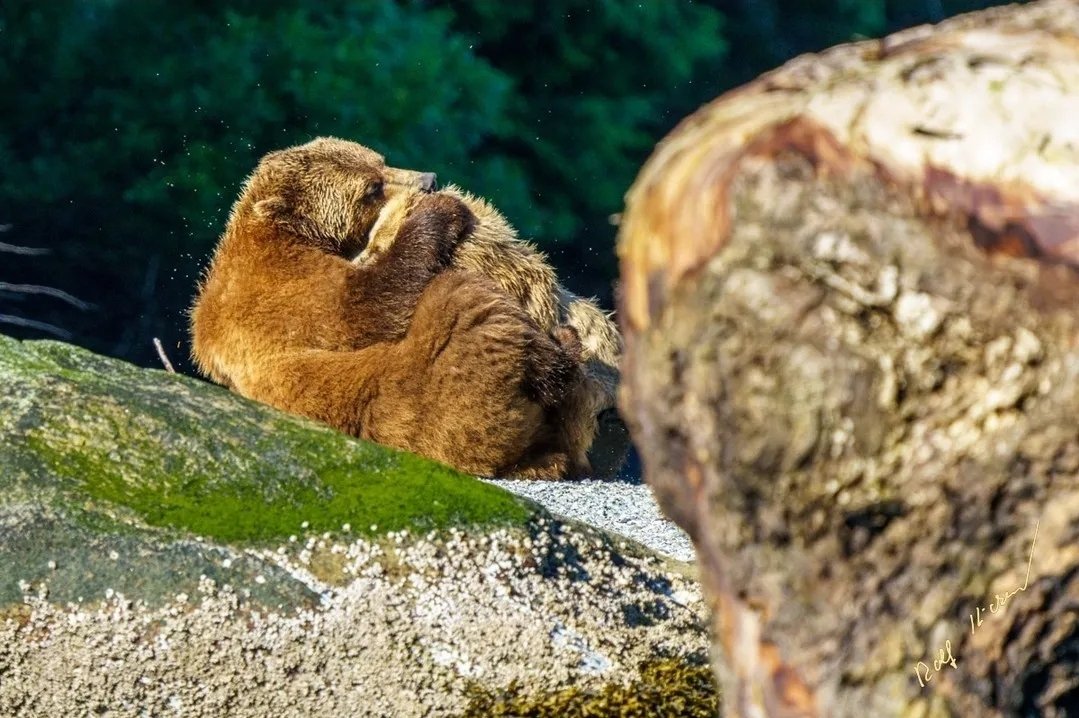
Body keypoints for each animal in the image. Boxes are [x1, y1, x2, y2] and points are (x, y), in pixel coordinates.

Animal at [189, 137, 584, 479]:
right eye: (373, 188)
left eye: (380, 160)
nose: (429, 180)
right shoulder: (287, 288)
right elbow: (372, 302)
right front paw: (443, 209)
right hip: (432, 399)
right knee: (462, 303)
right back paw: (563, 349)